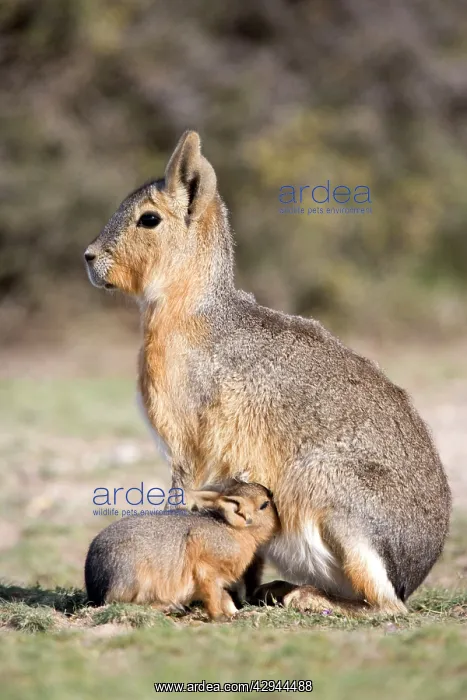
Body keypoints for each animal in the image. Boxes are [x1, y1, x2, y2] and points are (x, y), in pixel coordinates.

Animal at [84, 481, 279, 620]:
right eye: (264, 505)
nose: (271, 490)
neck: (231, 530)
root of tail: (93, 582)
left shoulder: (220, 581)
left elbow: (225, 597)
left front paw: (238, 614)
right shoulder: (206, 569)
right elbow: (213, 596)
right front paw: (219, 617)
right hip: (135, 581)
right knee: (119, 603)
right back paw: (171, 606)